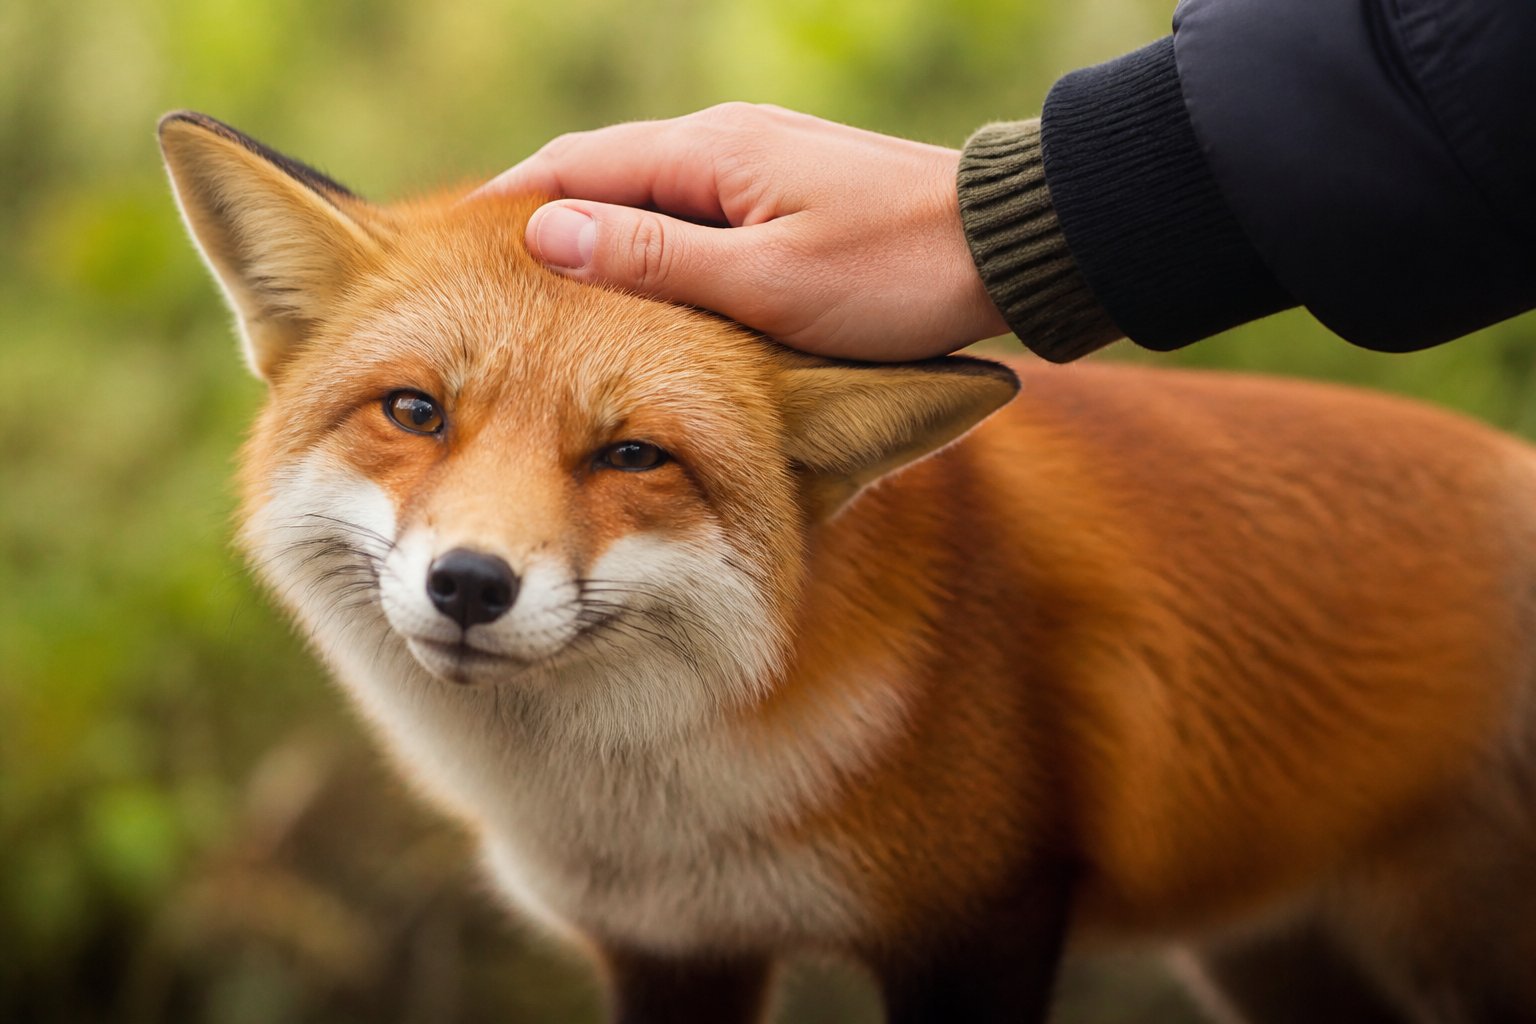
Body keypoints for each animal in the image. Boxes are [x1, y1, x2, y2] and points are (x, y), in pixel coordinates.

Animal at [159, 109, 1536, 1024]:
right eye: (415, 412)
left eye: (633, 454)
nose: (470, 585)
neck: (670, 810)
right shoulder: (668, 949)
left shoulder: (982, 918)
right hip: (1271, 962)